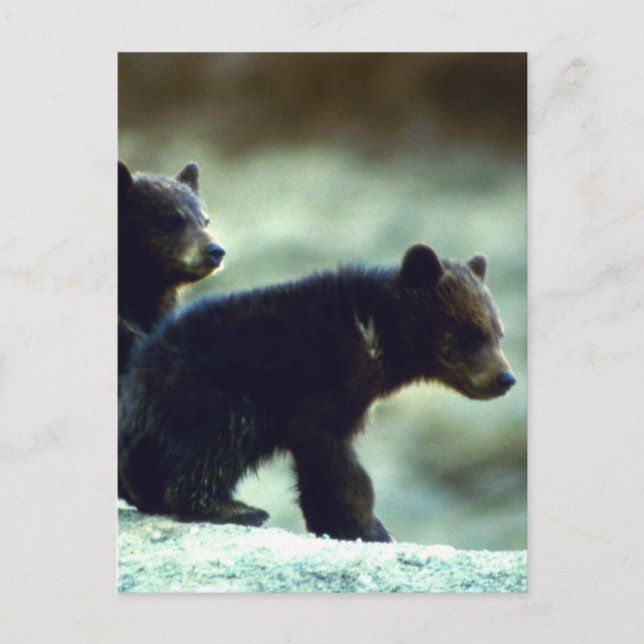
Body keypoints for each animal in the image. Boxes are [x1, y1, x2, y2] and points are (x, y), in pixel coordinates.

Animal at [118, 244, 516, 542]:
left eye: (498, 332)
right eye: (471, 333)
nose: (505, 378)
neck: (378, 335)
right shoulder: (322, 381)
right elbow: (334, 460)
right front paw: (367, 526)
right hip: (206, 389)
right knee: (224, 433)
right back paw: (238, 508)